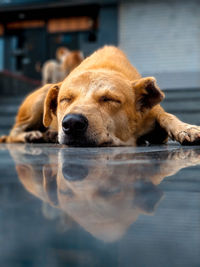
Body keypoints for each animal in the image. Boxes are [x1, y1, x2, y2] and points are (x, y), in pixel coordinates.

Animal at [0, 45, 200, 147]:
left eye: (109, 99)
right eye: (65, 99)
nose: (72, 123)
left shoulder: (154, 112)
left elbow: (166, 116)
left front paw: (186, 128)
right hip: (41, 96)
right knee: (12, 134)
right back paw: (31, 135)